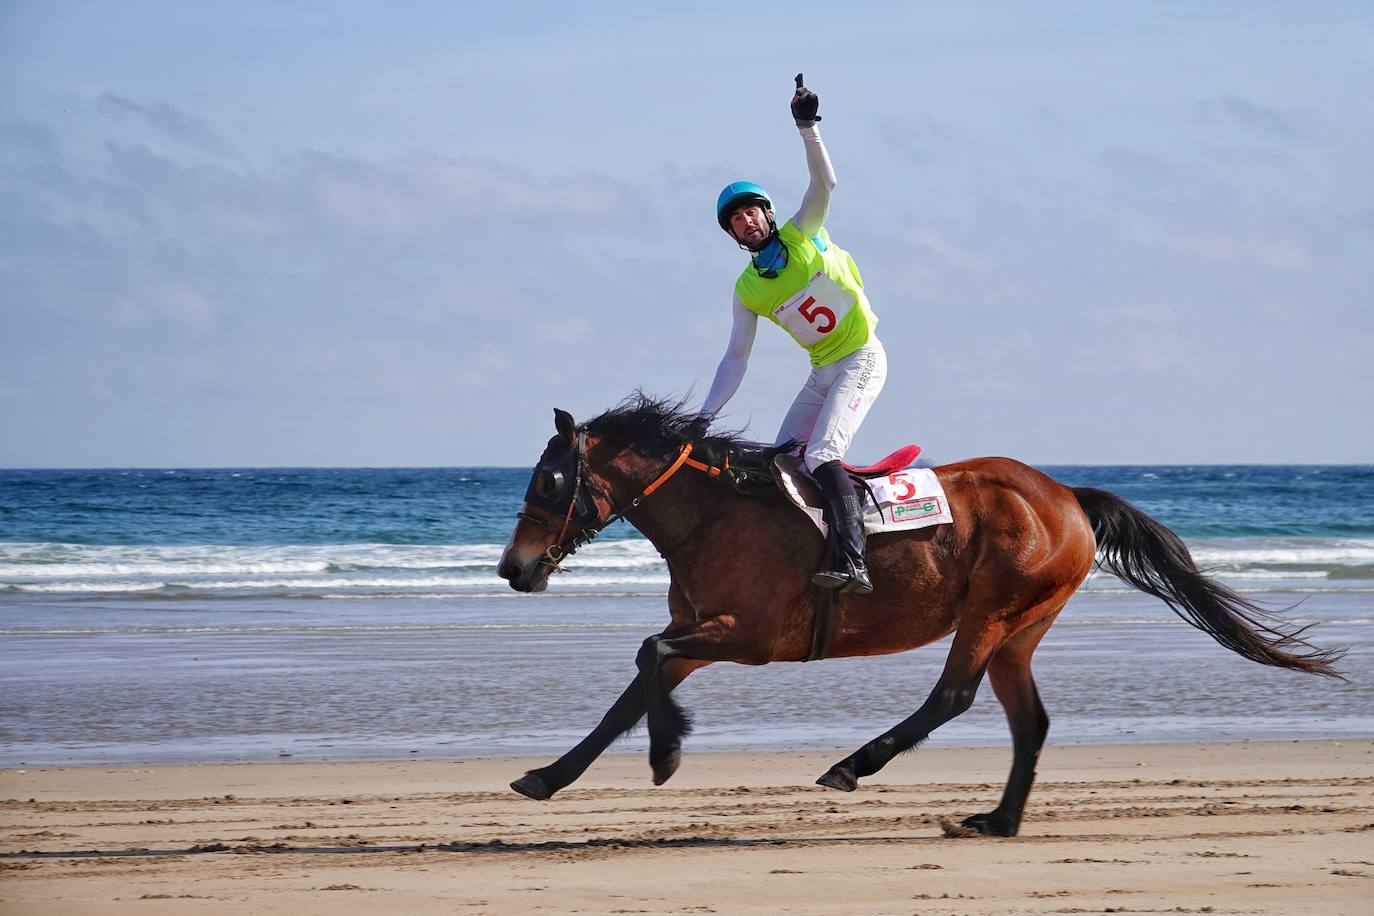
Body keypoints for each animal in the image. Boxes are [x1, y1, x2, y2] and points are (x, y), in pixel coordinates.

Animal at [497, 395, 1341, 840]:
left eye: (551, 480)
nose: (514, 567)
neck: (714, 512)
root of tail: (1067, 494)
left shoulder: (750, 636)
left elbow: (647, 656)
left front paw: (667, 752)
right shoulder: (706, 635)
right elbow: (631, 691)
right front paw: (548, 775)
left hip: (993, 610)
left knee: (954, 695)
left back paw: (854, 765)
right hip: (1022, 628)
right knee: (1029, 720)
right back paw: (998, 820)